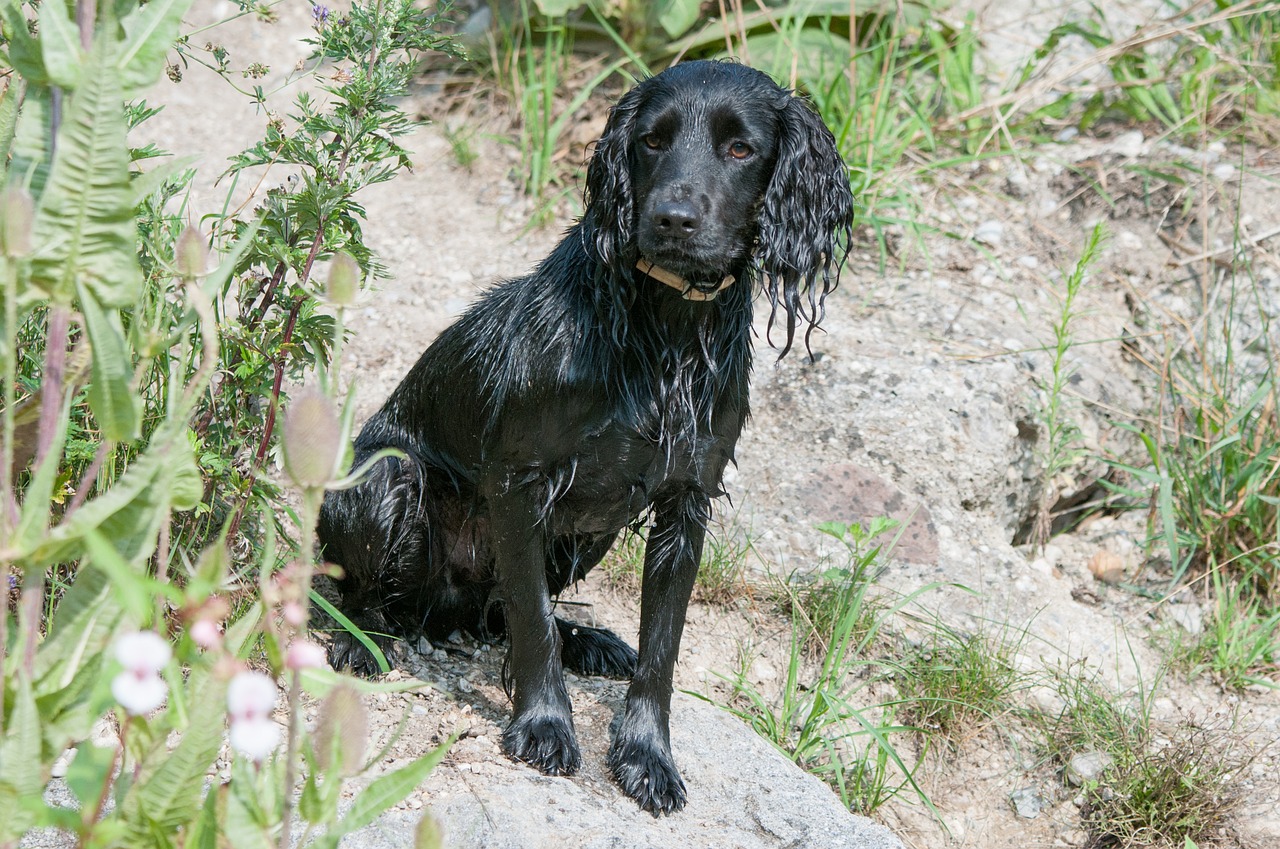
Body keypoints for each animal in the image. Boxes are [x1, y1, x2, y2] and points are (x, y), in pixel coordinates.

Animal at [322, 59, 849, 819]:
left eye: (740, 148)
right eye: (652, 141)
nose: (673, 219)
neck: (665, 335)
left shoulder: (685, 501)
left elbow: (659, 647)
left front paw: (648, 756)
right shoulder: (520, 482)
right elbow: (533, 620)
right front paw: (544, 725)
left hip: (587, 533)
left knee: (495, 611)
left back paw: (591, 640)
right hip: (386, 481)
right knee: (363, 592)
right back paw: (360, 640)